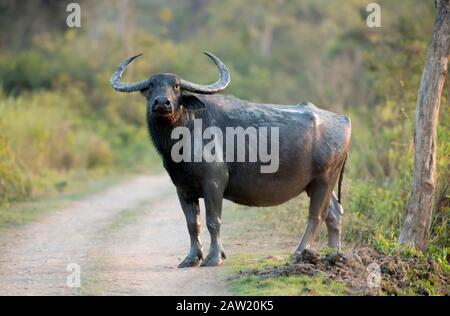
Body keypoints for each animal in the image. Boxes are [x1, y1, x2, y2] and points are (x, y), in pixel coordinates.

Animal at [110, 51, 350, 266]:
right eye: (151, 86)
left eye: (176, 86)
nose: (162, 102)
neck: (187, 132)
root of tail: (343, 119)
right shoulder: (183, 188)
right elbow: (192, 224)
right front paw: (191, 258)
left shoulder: (214, 183)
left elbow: (213, 221)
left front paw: (214, 257)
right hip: (317, 184)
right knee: (335, 213)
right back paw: (333, 255)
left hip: (324, 180)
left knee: (316, 216)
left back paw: (299, 253)